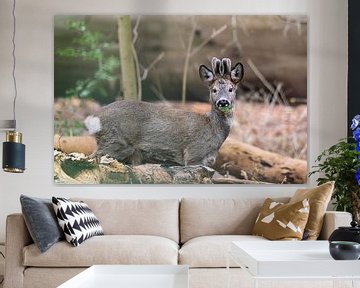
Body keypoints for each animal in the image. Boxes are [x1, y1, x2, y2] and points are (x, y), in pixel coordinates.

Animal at [84, 57, 243, 166]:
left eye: (231, 89)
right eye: (214, 90)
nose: (223, 101)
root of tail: (95, 118)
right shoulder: (193, 154)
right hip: (115, 140)